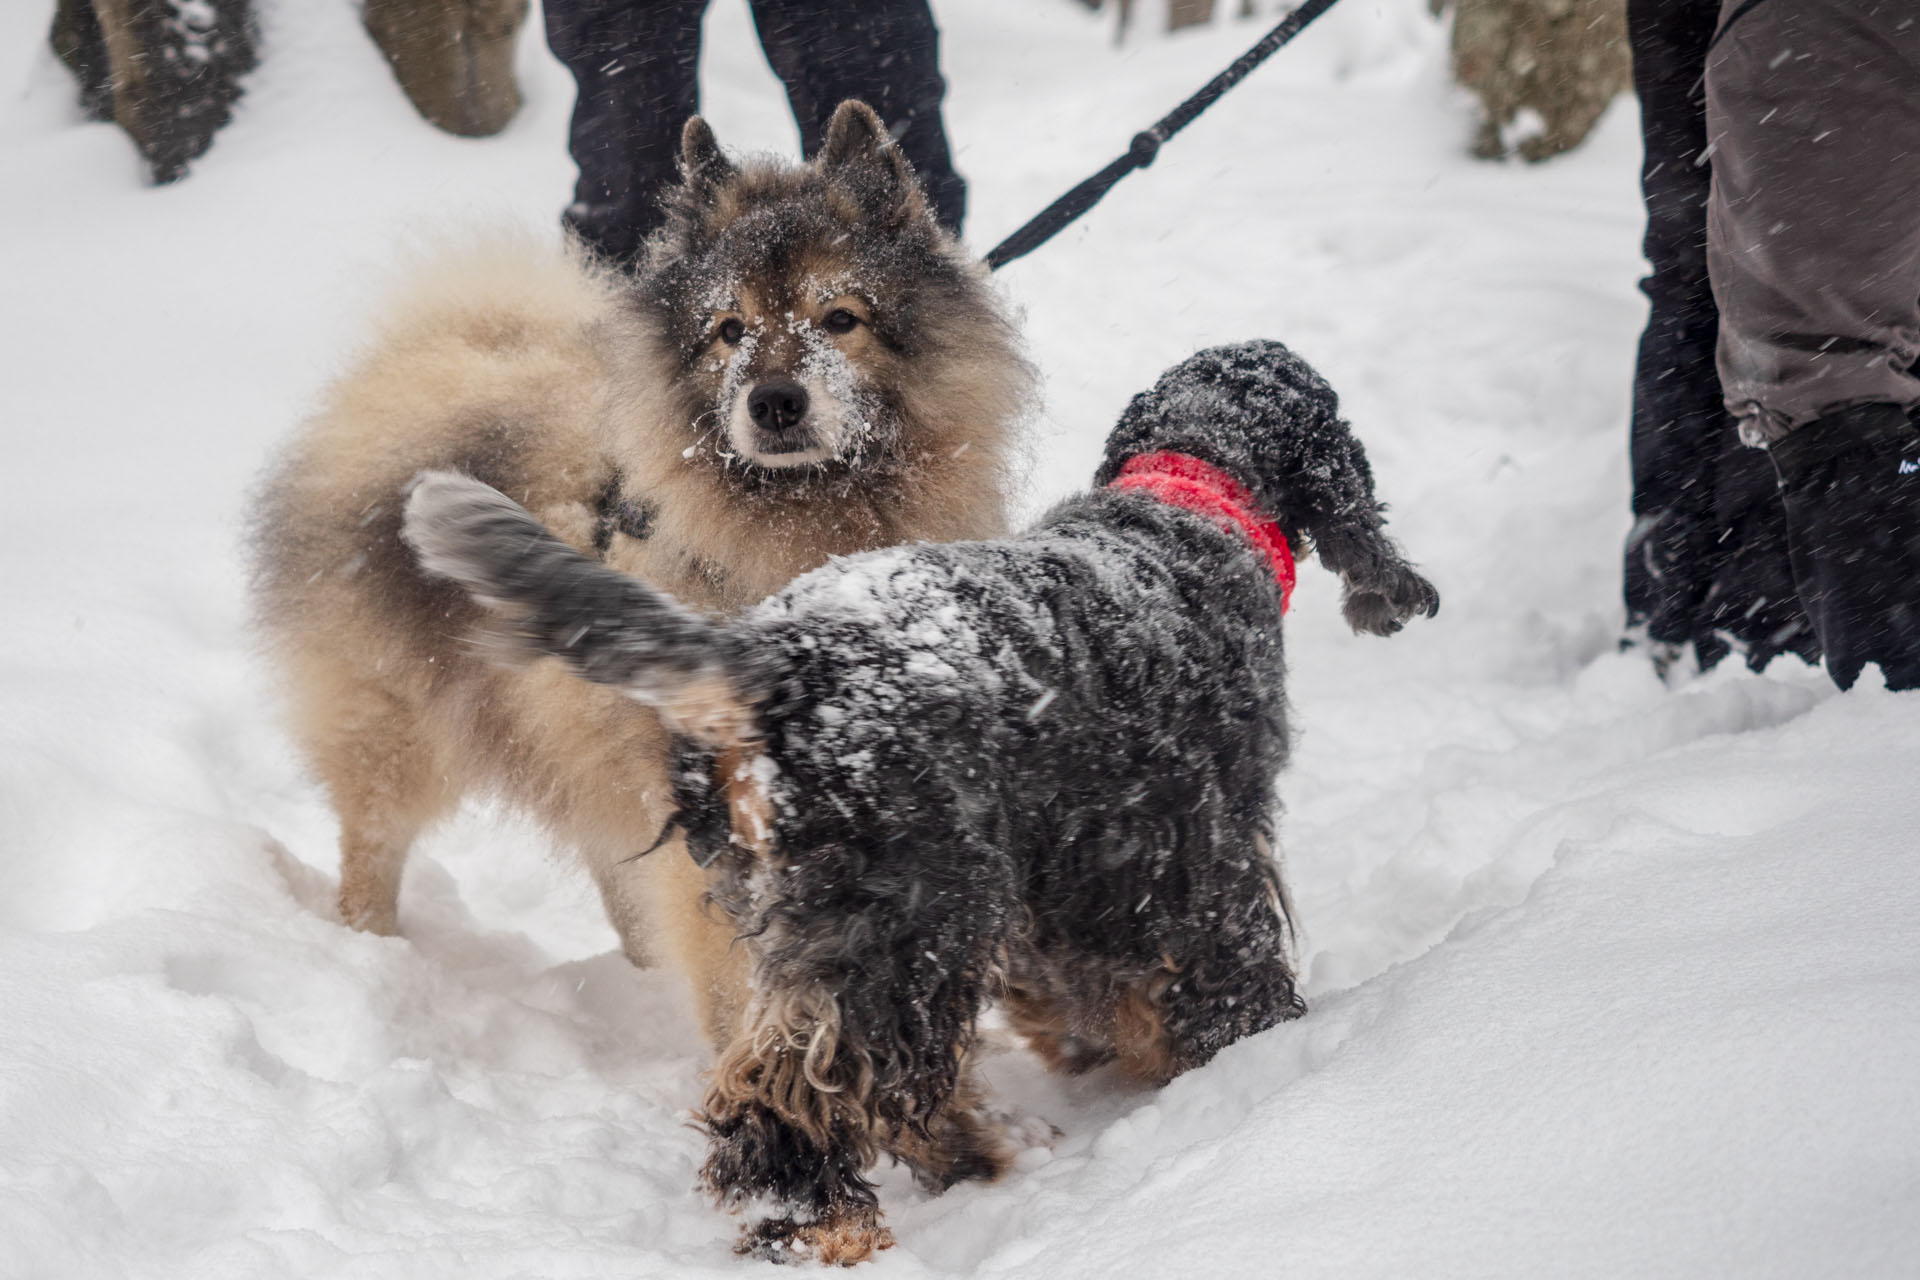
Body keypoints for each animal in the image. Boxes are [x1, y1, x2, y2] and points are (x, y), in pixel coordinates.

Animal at [397, 339, 1436, 1258]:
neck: (1185, 498)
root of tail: (775, 661)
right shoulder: (1193, 844)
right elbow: (1224, 974)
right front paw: (1253, 1052)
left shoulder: (1070, 868)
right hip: (907, 924)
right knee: (794, 1094)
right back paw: (830, 1219)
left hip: (811, 916)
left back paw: (972, 1154)